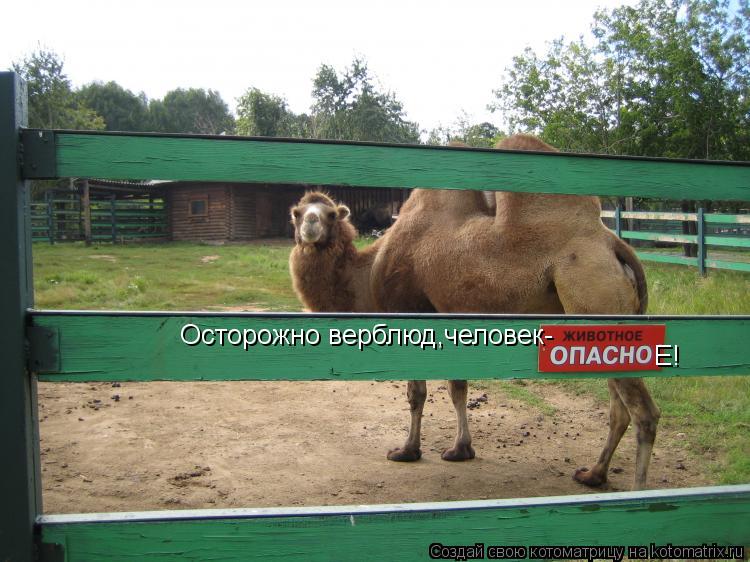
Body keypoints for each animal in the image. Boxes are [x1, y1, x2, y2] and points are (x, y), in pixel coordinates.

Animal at [288, 134, 659, 490]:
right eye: (297, 212)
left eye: (331, 214)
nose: (310, 225)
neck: (368, 272)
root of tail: (613, 244)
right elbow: (457, 388)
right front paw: (460, 449)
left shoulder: (410, 313)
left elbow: (416, 394)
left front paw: (407, 450)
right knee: (619, 410)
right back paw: (594, 474)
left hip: (593, 293)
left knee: (644, 413)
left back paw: (640, 492)